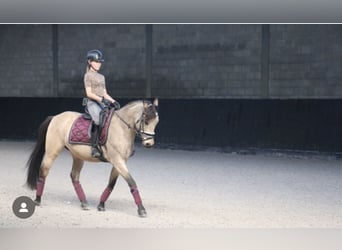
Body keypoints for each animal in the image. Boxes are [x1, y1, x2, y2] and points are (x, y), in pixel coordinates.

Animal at [25, 98, 159, 218]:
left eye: (156, 122)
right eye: (146, 121)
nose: (149, 144)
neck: (121, 128)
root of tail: (55, 117)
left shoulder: (119, 162)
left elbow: (111, 184)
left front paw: (101, 205)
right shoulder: (118, 161)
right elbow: (132, 182)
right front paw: (141, 210)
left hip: (77, 156)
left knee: (74, 176)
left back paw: (84, 203)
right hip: (52, 152)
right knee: (43, 172)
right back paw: (38, 200)